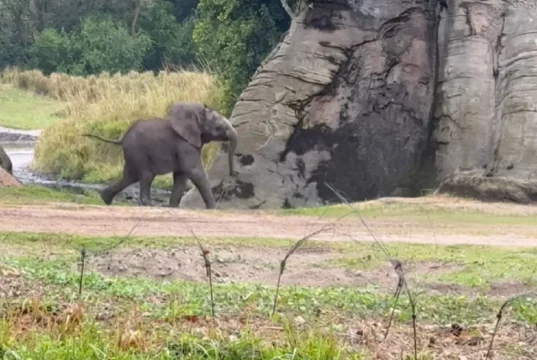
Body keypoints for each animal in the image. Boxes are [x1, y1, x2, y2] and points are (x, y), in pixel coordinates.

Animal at [82, 101, 236, 208]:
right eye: (219, 128)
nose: (231, 175)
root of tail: (122, 138)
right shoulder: (185, 145)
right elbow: (195, 172)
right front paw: (214, 208)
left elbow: (181, 176)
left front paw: (173, 207)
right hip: (138, 150)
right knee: (146, 175)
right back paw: (148, 205)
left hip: (132, 151)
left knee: (130, 177)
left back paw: (105, 198)